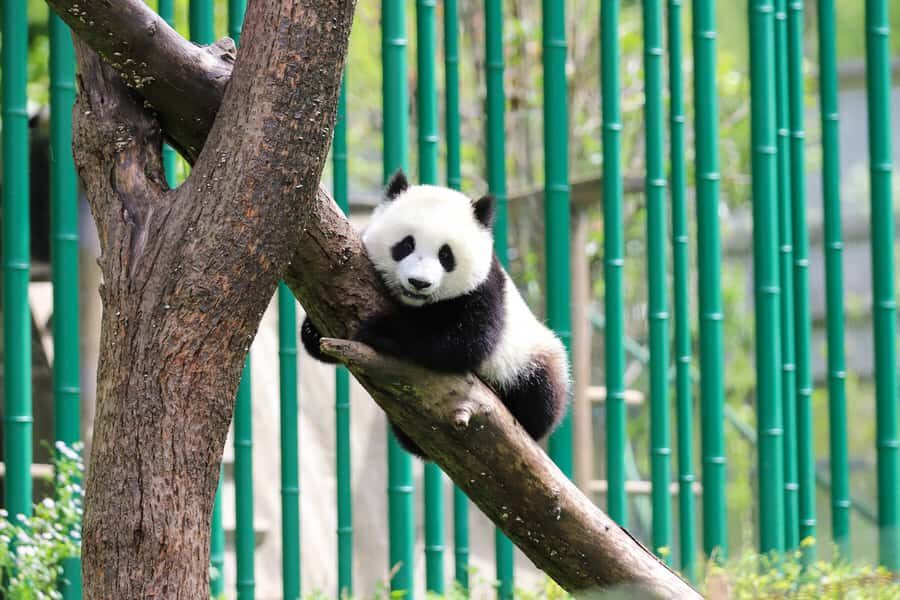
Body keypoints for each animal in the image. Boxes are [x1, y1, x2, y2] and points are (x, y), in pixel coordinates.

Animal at [301, 169, 570, 459]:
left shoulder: (486, 289)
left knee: (541, 393)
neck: (418, 306)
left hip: (532, 356)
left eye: (446, 255)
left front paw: (382, 330)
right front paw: (313, 331)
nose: (419, 283)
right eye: (406, 245)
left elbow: (465, 341)